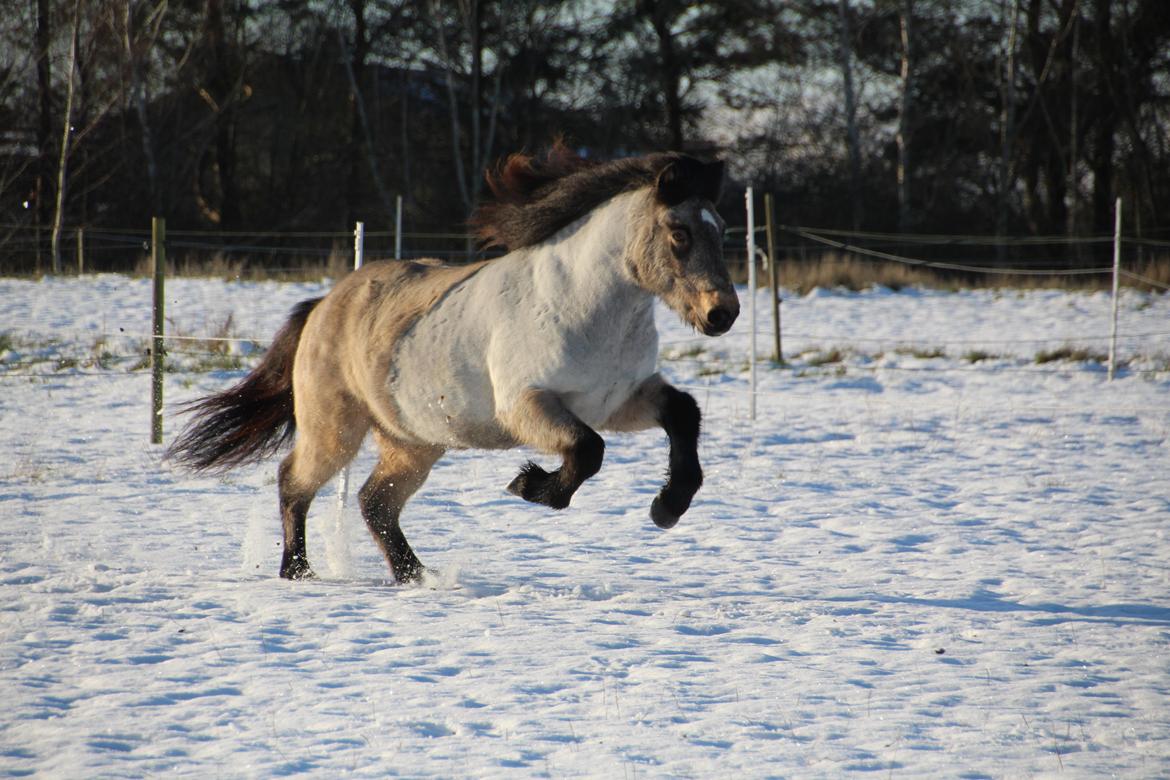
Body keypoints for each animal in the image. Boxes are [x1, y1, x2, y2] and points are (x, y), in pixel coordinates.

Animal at [169, 143, 739, 580]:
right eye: (680, 234)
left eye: (723, 230)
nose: (723, 313)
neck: (583, 302)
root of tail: (325, 305)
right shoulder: (527, 406)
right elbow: (588, 451)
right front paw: (529, 484)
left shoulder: (617, 401)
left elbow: (683, 413)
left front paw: (667, 507)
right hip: (336, 430)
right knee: (294, 480)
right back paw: (298, 572)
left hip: (412, 442)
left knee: (375, 503)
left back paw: (416, 576)